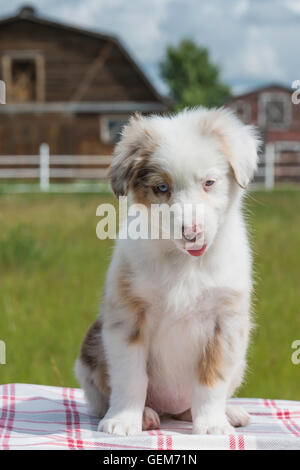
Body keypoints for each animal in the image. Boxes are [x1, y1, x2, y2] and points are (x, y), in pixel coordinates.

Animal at [74, 108, 258, 436]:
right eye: (162, 188)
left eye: (209, 182)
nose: (191, 232)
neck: (184, 261)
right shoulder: (127, 317)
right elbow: (130, 377)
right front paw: (124, 420)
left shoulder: (225, 322)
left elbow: (211, 381)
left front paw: (212, 425)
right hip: (89, 355)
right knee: (105, 396)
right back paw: (146, 415)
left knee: (191, 405)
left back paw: (229, 412)